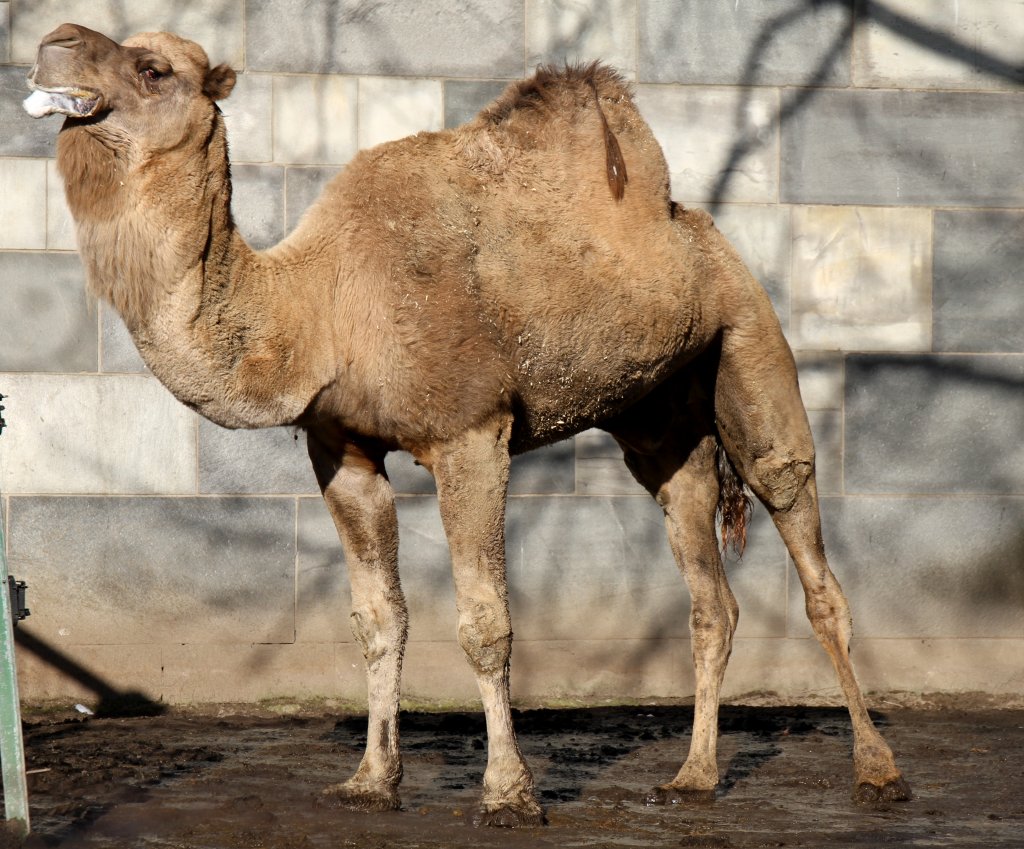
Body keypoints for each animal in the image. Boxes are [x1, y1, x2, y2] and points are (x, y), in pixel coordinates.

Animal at [24, 23, 909, 823]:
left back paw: (877, 771)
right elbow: (379, 619)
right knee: (707, 587)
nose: (53, 42)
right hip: (658, 418)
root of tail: (703, 231)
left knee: (803, 533)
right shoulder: (340, 446)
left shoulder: (470, 432)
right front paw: (371, 781)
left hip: (748, 338)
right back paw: (693, 777)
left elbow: (487, 624)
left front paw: (508, 794)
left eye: (153, 67)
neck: (316, 308)